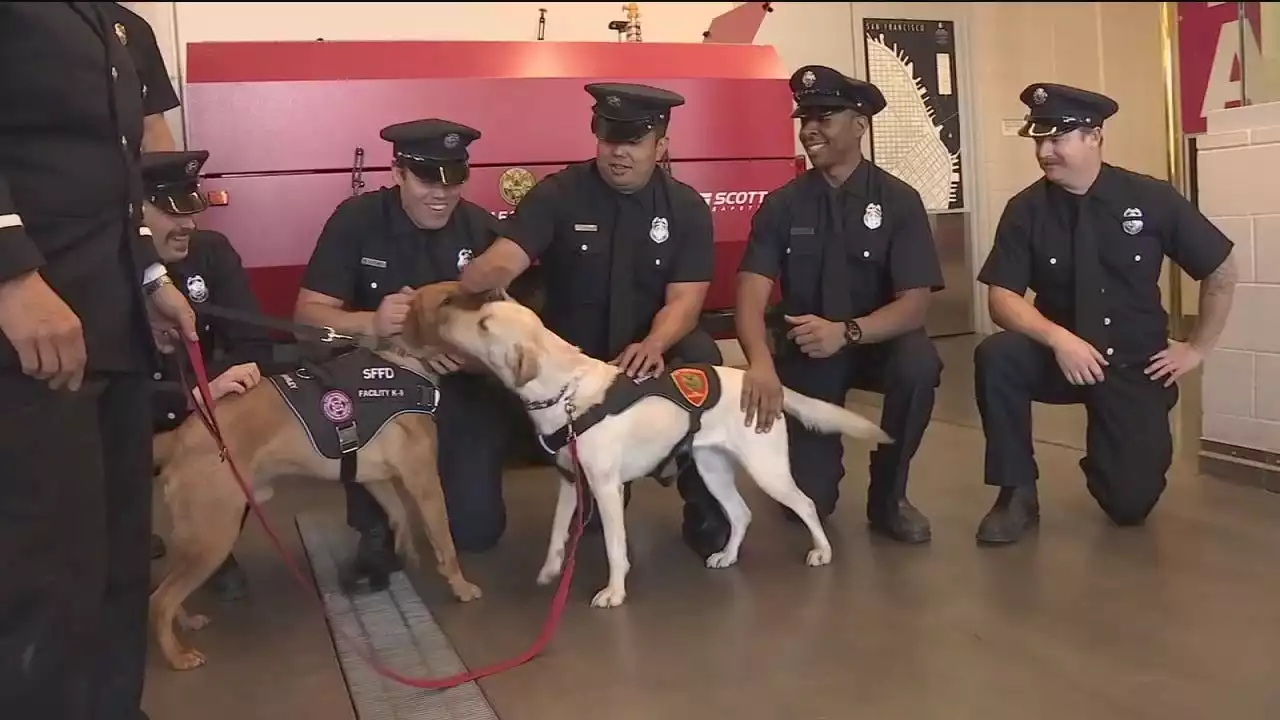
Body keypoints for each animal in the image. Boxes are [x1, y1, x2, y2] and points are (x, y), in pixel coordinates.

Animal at [149, 280, 481, 666]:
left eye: (464, 288)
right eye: (447, 301)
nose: (488, 296)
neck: (402, 361)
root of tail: (182, 434)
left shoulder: (373, 477)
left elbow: (397, 512)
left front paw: (404, 548)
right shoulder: (425, 482)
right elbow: (445, 540)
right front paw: (460, 585)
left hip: (195, 536)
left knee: (166, 589)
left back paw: (185, 622)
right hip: (212, 537)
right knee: (160, 600)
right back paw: (177, 657)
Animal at [430, 292, 890, 604]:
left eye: (484, 324)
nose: (441, 312)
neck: (567, 392)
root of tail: (759, 380)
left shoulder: (606, 489)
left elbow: (615, 546)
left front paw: (614, 592)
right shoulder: (570, 481)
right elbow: (558, 531)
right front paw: (550, 568)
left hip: (768, 470)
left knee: (807, 504)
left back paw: (821, 551)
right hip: (712, 468)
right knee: (741, 513)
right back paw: (726, 555)